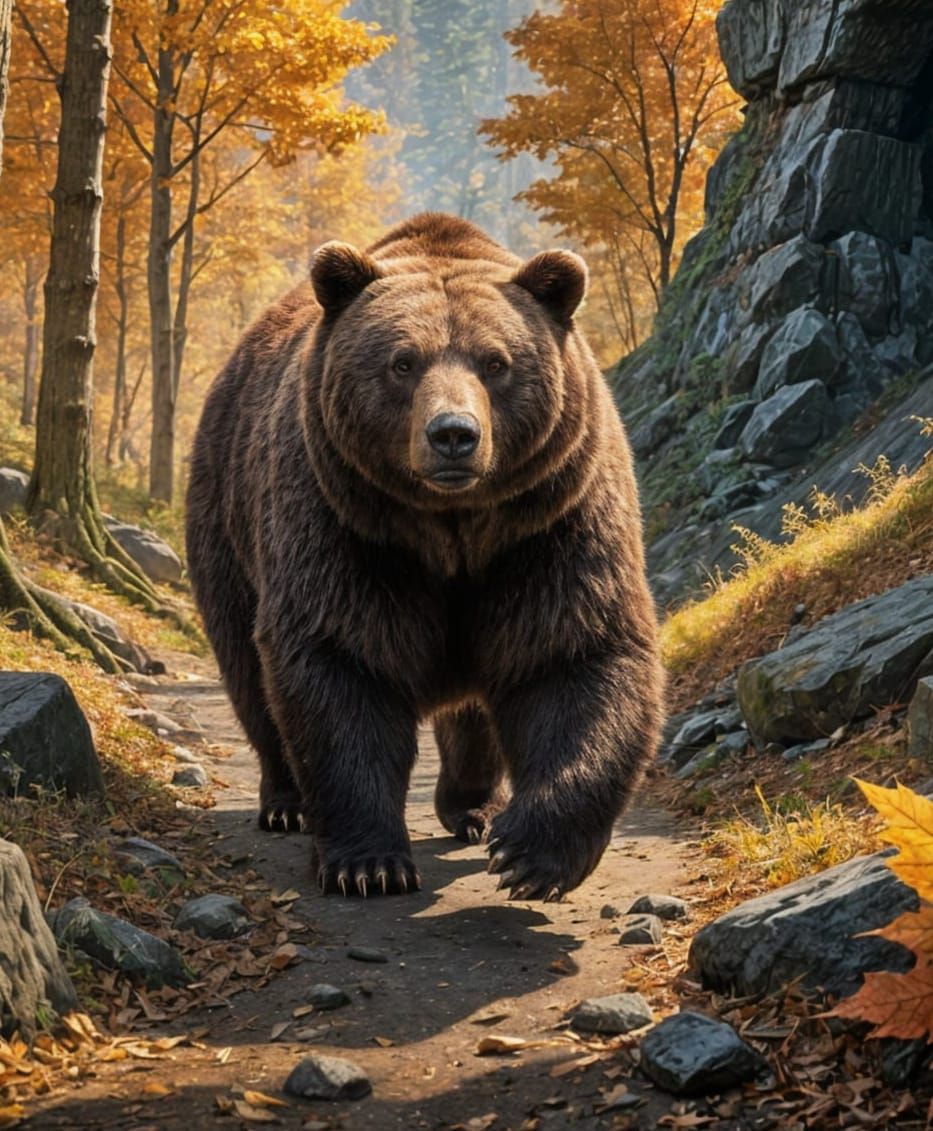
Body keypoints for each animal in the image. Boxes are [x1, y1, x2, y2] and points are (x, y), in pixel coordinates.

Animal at [185, 212, 664, 901]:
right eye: (403, 361)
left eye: (496, 362)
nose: (453, 434)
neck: (451, 530)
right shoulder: (345, 524)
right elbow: (340, 659)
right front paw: (368, 864)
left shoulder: (550, 521)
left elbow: (573, 654)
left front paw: (529, 855)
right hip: (229, 513)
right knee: (247, 666)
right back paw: (285, 801)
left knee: (474, 709)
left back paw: (473, 807)